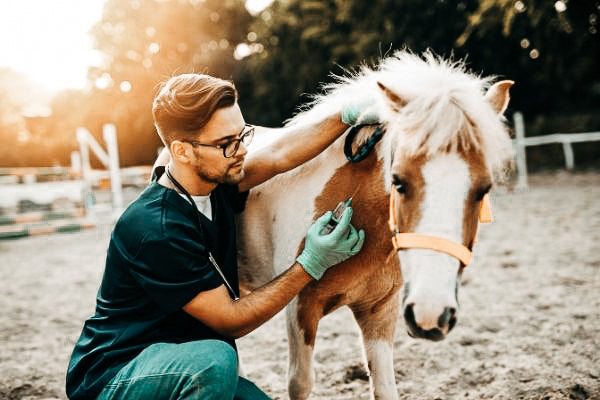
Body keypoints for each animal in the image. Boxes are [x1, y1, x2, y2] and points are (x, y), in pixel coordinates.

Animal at [237, 50, 512, 400]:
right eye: (398, 181)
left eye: (483, 190)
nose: (431, 313)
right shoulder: (298, 309)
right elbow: (300, 383)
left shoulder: (380, 311)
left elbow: (385, 388)